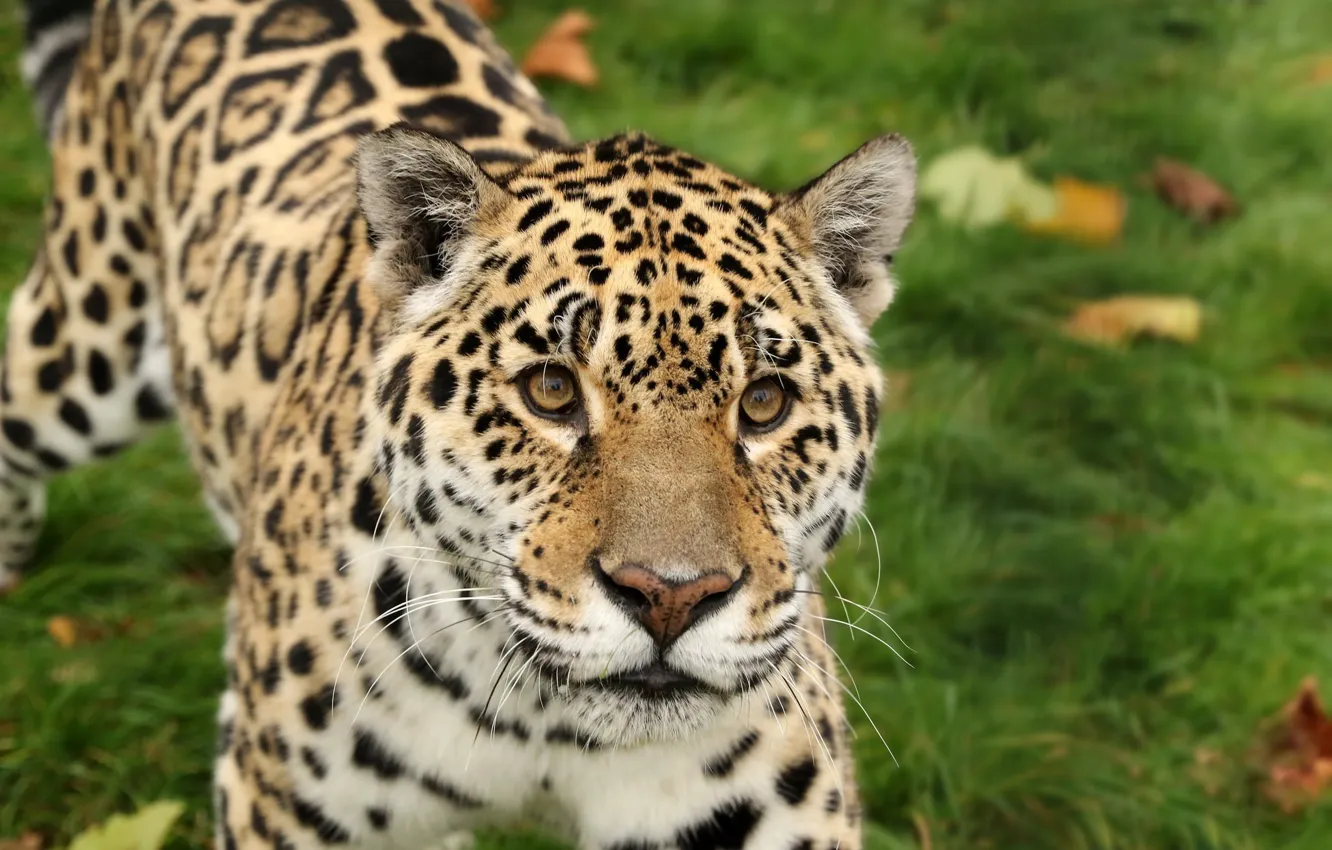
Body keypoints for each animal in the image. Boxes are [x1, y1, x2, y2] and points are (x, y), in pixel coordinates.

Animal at [6, 0, 918, 846]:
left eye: (765, 402)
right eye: (551, 390)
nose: (669, 597)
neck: (547, 727)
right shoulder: (274, 806)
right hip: (86, 332)